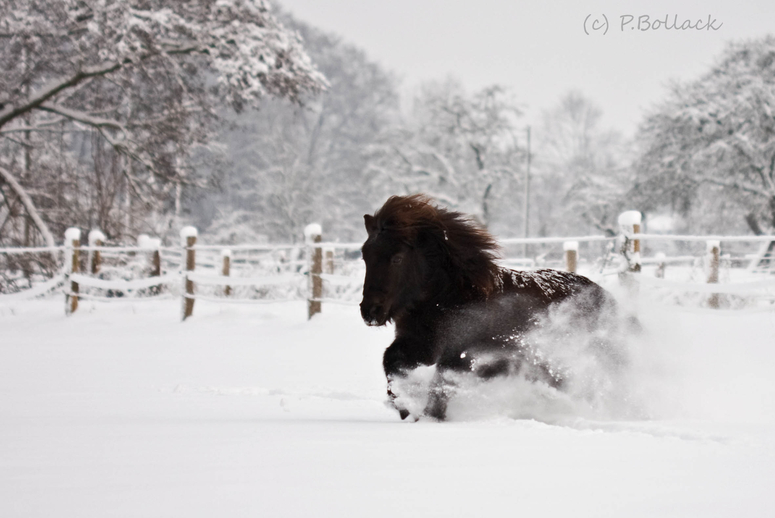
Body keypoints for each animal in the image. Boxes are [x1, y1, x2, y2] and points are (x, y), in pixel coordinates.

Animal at [362, 195, 624, 422]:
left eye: (397, 258)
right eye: (365, 255)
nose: (370, 311)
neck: (450, 297)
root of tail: (606, 298)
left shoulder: (463, 355)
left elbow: (440, 386)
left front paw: (428, 416)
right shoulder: (419, 345)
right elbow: (391, 362)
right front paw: (405, 408)